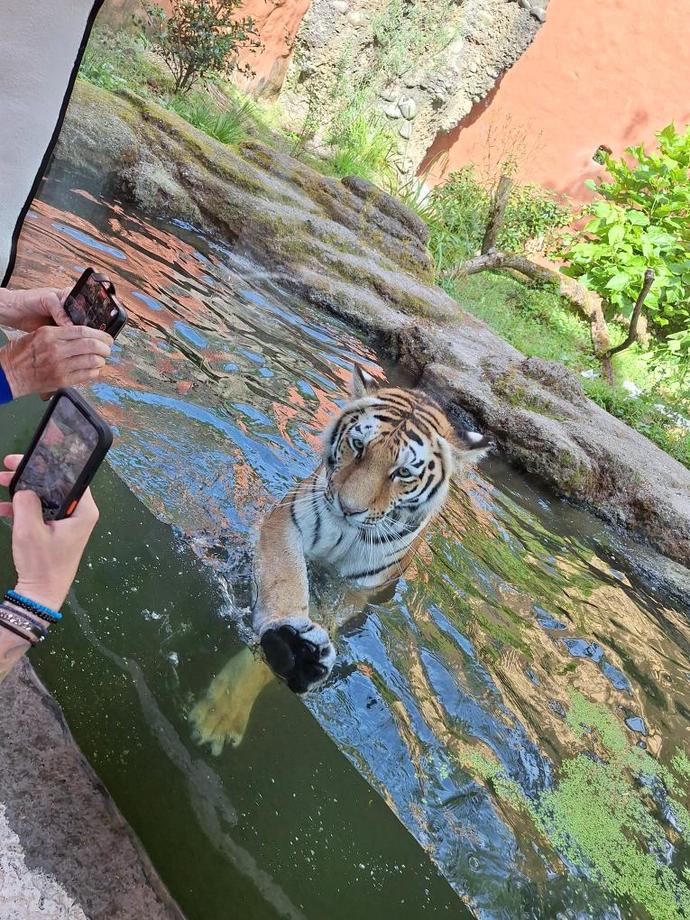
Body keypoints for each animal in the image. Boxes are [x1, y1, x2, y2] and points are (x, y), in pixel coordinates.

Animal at [190, 366, 492, 753]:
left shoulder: (354, 589)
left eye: (403, 473)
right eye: (359, 446)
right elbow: (286, 581)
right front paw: (291, 643)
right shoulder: (285, 524)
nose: (349, 508)